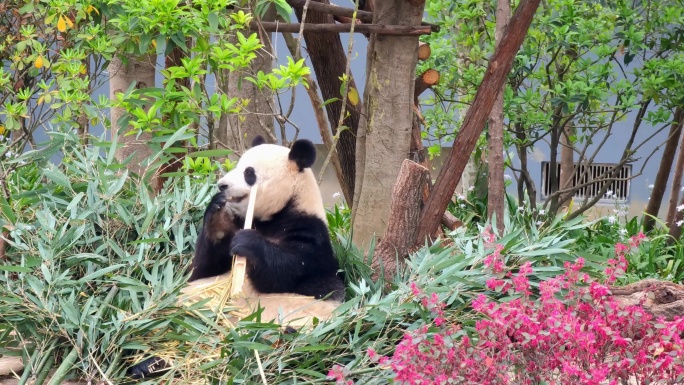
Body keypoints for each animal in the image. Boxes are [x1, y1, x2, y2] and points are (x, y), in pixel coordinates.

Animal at [127, 135, 344, 378]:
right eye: (237, 165)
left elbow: (286, 273)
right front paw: (217, 210)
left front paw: (248, 243)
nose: (222, 185)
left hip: (297, 321)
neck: (278, 214)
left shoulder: (311, 237)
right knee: (169, 322)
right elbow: (202, 267)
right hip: (188, 309)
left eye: (249, 173)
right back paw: (146, 363)